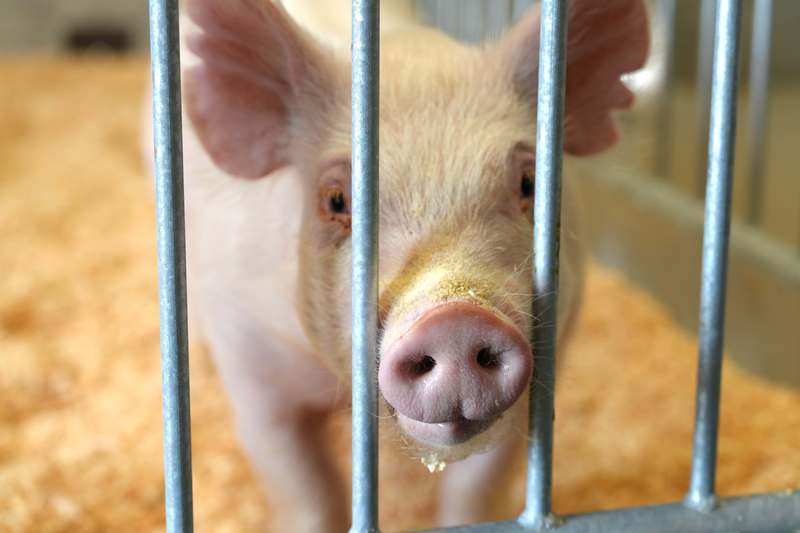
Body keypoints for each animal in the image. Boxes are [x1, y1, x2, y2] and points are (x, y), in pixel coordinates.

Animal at [159, 0, 649, 530]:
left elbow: (477, 488)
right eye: (335, 199)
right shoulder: (250, 354)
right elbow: (304, 485)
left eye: (529, 184)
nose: (456, 319)